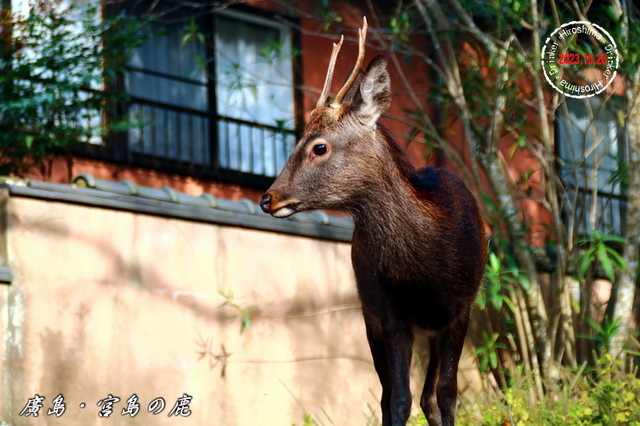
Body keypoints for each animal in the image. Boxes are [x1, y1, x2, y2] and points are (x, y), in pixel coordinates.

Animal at [258, 18, 488, 426]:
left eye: (319, 146)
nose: (268, 198)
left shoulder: (461, 308)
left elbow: (447, 394)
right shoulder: (390, 312)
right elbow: (398, 398)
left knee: (430, 395)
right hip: (370, 310)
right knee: (388, 394)